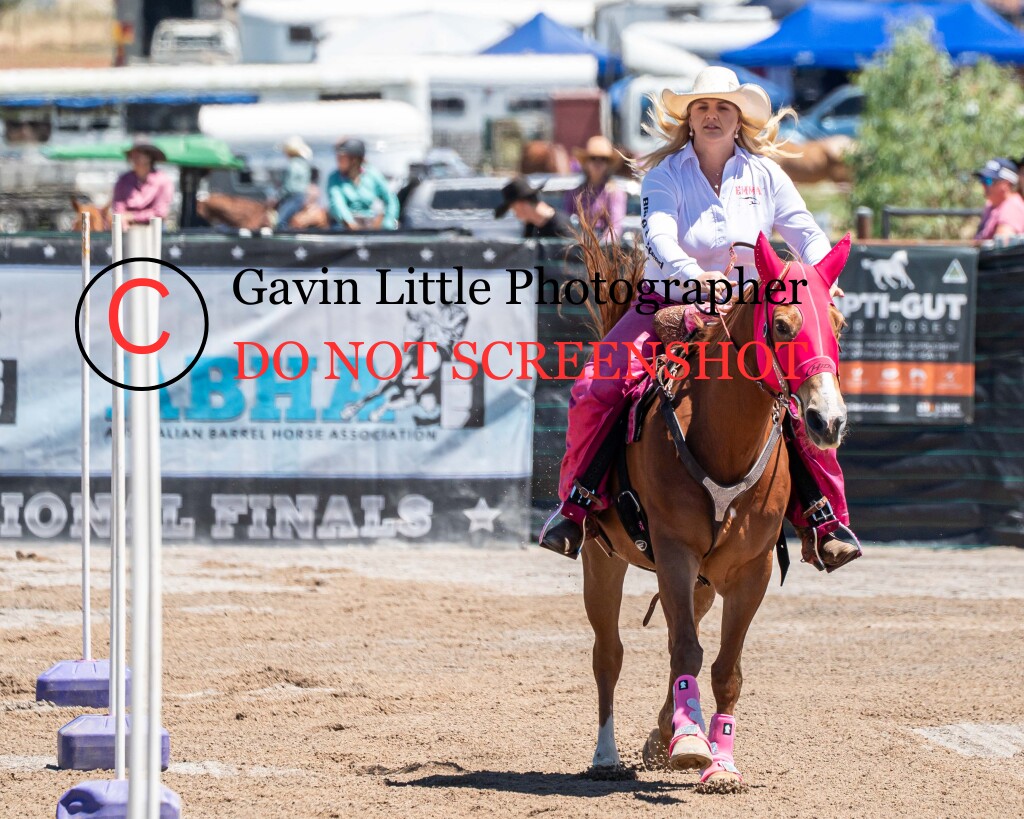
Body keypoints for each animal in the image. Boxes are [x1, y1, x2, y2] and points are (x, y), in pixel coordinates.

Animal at [574, 230, 849, 791]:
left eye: (837, 325)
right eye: (783, 326)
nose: (828, 421)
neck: (723, 440)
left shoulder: (752, 570)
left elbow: (725, 668)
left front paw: (719, 761)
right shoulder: (675, 553)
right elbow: (685, 650)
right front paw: (689, 744)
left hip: (703, 578)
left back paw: (664, 731)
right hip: (602, 557)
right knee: (608, 654)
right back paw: (608, 754)